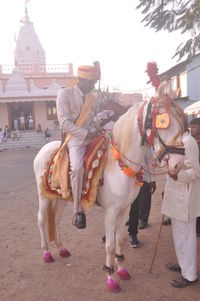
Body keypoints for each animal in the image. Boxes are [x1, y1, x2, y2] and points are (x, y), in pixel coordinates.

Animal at [34, 83, 184, 292]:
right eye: (163, 121)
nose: (178, 164)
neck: (119, 164)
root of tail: (45, 149)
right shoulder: (111, 211)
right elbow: (110, 244)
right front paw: (110, 277)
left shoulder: (125, 209)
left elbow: (120, 239)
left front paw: (121, 269)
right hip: (43, 197)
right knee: (41, 220)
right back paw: (46, 253)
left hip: (61, 197)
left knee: (55, 219)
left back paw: (62, 248)